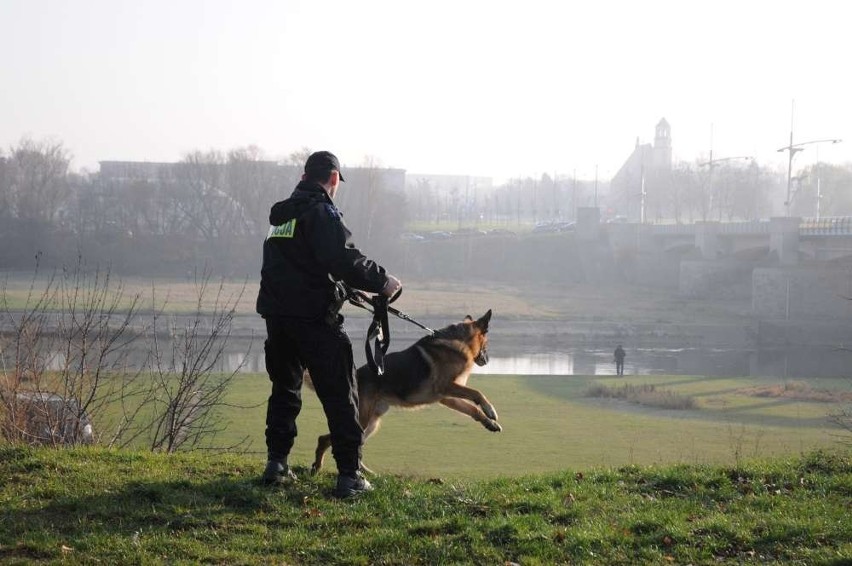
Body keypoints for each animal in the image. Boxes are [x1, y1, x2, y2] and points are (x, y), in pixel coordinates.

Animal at [312, 310, 500, 474]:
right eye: (488, 344)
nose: (488, 360)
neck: (459, 342)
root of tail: (355, 375)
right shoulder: (446, 387)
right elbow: (477, 393)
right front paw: (491, 410)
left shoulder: (447, 397)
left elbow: (472, 409)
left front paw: (489, 423)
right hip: (362, 419)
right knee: (326, 439)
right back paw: (318, 467)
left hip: (371, 423)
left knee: (351, 445)